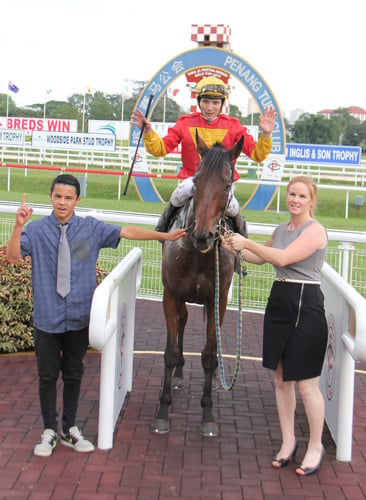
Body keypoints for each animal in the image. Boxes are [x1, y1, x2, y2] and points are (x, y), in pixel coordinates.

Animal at [150, 132, 244, 438]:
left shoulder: (218, 300)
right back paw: (179, 374)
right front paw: (162, 411)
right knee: (182, 322)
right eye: (197, 180)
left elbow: (209, 355)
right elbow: (169, 352)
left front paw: (207, 414)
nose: (203, 235)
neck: (195, 253)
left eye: (227, 184)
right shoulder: (171, 295)